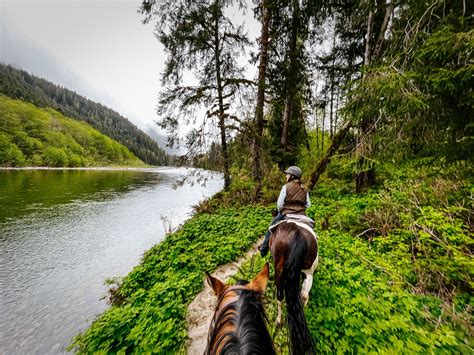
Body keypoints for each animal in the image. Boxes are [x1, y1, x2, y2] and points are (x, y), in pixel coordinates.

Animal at [270, 221, 318, 354]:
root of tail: (297, 235)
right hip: (309, 272)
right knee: (304, 295)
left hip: (279, 270)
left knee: (280, 295)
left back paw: (279, 321)